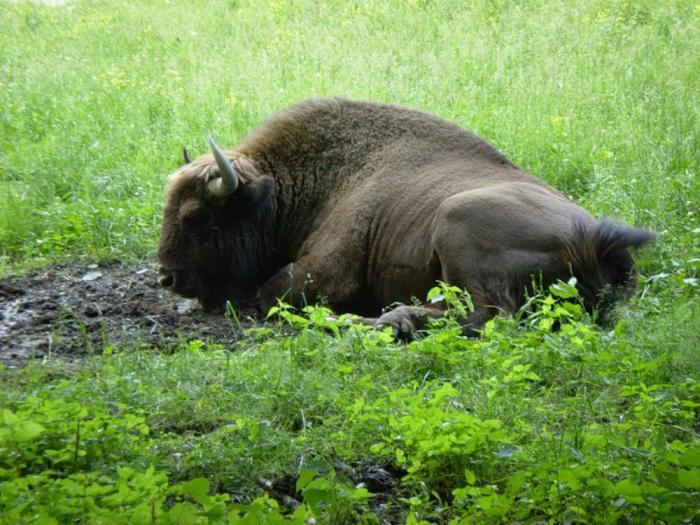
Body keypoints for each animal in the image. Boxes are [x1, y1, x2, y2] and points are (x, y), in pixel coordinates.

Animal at [157, 99, 652, 336]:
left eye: (198, 218)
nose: (168, 278)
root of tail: (592, 238)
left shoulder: (327, 272)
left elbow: (270, 295)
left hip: (456, 220)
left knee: (486, 316)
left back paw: (383, 322)